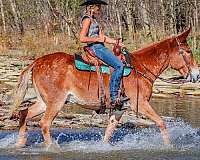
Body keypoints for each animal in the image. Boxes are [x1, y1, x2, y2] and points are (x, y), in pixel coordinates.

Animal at [12, 27, 198, 148]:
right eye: (189, 51)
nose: (196, 74)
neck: (141, 68)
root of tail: (37, 61)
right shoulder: (140, 104)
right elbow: (161, 123)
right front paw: (169, 147)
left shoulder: (119, 109)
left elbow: (109, 132)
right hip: (56, 102)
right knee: (44, 124)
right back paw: (51, 148)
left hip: (44, 102)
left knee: (24, 114)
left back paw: (20, 144)